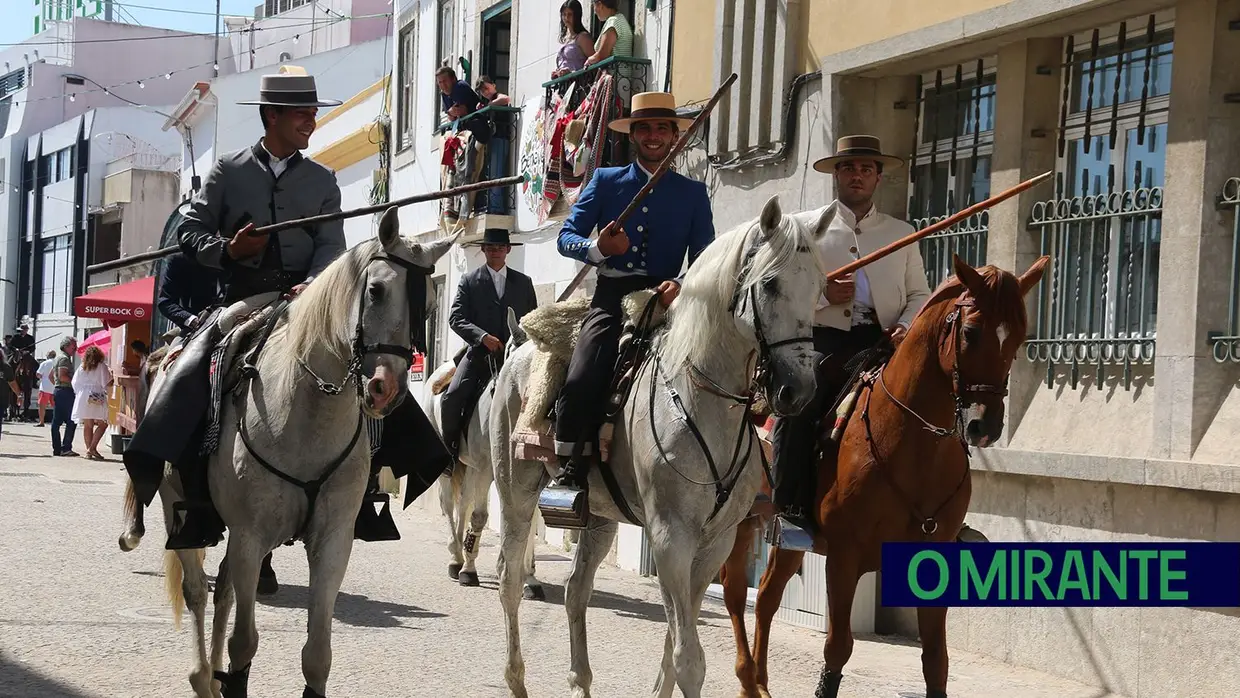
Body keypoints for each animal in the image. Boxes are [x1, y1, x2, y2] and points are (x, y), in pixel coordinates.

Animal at [123, 209, 456, 698]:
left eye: (429, 304)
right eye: (375, 290)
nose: (386, 389)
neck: (305, 412)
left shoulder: (332, 541)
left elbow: (317, 656)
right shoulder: (250, 536)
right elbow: (244, 643)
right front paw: (228, 675)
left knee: (223, 588)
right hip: (178, 510)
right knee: (199, 591)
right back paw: (203, 676)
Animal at [419, 311, 545, 600]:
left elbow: (530, 522)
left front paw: (530, 579)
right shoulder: (486, 470)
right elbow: (479, 517)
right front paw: (469, 570)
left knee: (463, 503)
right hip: (453, 468)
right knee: (449, 506)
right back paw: (456, 559)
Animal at [488, 198, 838, 698]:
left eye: (820, 287)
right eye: (770, 284)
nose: (799, 390)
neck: (701, 400)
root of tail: (519, 349)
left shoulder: (714, 543)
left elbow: (678, 636)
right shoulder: (671, 537)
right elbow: (689, 658)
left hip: (598, 516)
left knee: (576, 590)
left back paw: (580, 681)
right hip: (516, 491)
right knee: (510, 580)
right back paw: (516, 678)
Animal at [724, 255, 1051, 698]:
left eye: (1018, 337)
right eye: (970, 331)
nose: (985, 426)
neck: (915, 445)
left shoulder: (934, 558)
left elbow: (936, 660)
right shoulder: (843, 557)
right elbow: (837, 648)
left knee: (767, 596)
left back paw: (759, 682)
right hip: (736, 520)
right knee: (734, 591)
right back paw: (746, 677)